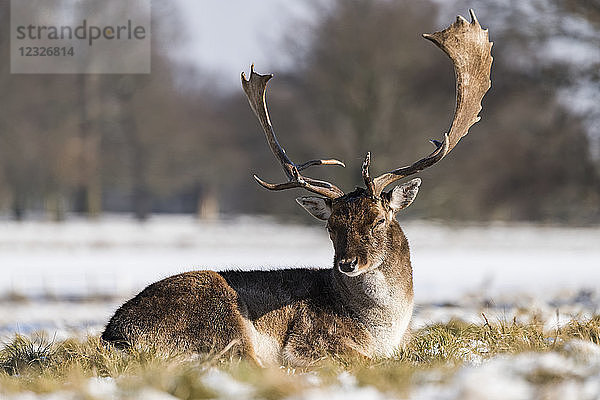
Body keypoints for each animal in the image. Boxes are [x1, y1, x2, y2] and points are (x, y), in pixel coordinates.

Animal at [99, 10, 492, 366]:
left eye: (378, 220)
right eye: (331, 225)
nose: (347, 263)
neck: (385, 329)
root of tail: (115, 336)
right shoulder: (310, 341)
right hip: (225, 323)